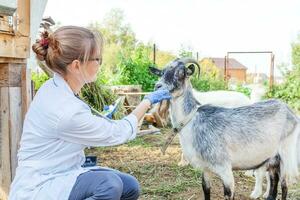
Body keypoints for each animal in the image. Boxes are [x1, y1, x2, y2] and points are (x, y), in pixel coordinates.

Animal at [150, 57, 300, 200]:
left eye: (181, 73)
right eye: (162, 72)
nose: (158, 86)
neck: (191, 120)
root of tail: (288, 110)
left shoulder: (225, 169)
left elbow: (228, 194)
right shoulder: (205, 169)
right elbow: (206, 190)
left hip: (286, 155)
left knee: (284, 186)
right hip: (273, 159)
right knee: (274, 183)